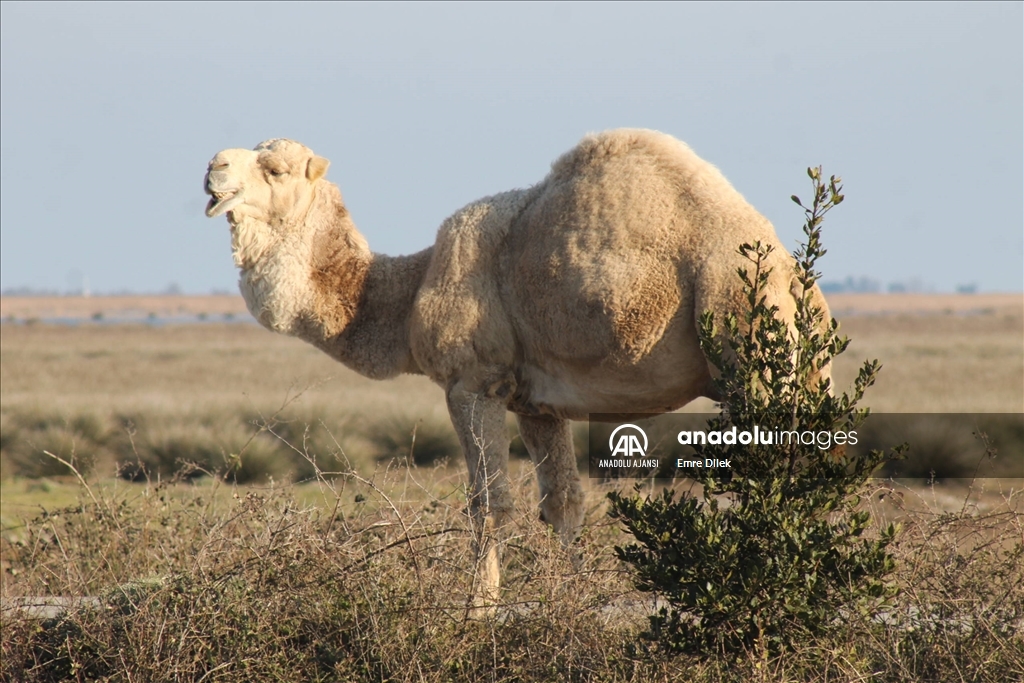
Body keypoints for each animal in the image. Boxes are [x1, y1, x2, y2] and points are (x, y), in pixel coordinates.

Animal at [203, 129, 827, 610]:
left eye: (276, 169)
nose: (213, 167)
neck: (411, 291)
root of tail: (786, 266)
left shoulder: (473, 382)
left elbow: (490, 506)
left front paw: (475, 613)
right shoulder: (537, 402)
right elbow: (565, 503)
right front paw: (573, 602)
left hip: (743, 331)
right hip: (801, 361)